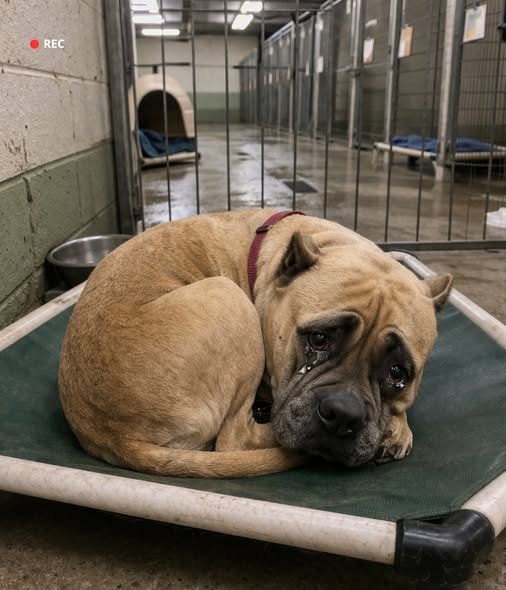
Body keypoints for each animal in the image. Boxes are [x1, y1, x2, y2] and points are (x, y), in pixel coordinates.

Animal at [59, 209, 452, 477]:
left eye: (398, 373)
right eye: (318, 338)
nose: (343, 415)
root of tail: (111, 433)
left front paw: (397, 427)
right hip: (228, 299)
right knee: (235, 439)